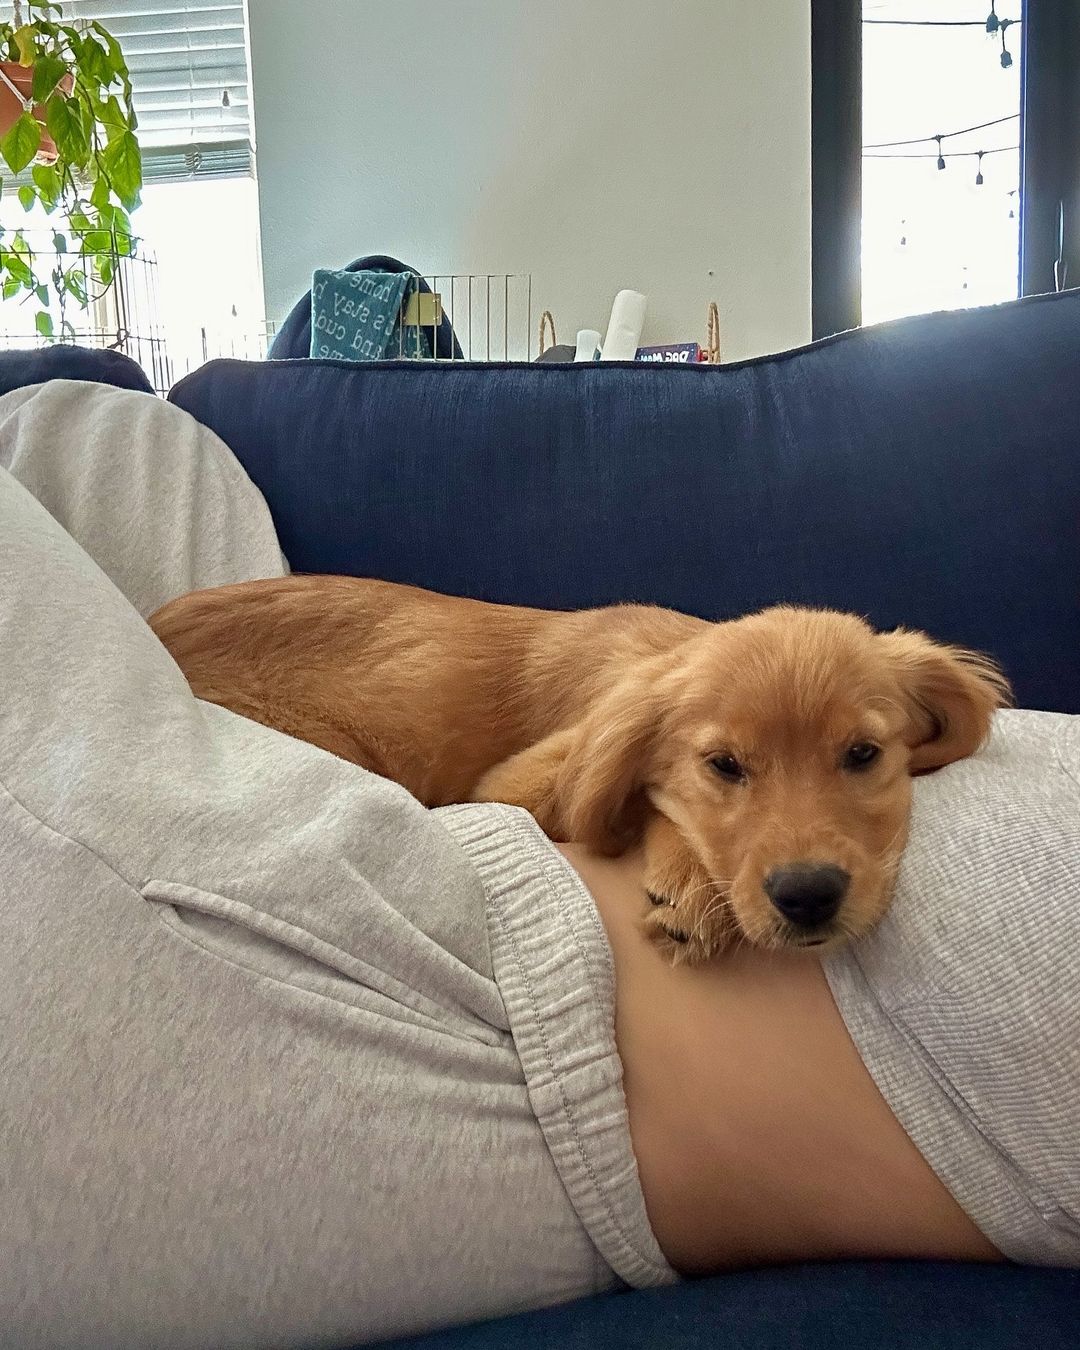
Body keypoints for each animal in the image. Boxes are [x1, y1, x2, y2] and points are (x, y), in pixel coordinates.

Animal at [147, 577, 1009, 961]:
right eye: (723, 766)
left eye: (864, 755)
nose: (808, 897)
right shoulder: (511, 786)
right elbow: (632, 798)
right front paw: (690, 885)